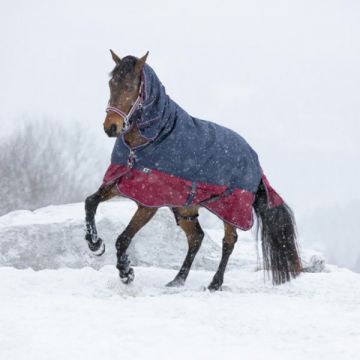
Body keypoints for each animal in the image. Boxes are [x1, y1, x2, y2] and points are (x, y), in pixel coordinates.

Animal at [86, 50, 302, 292]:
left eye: (131, 86)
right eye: (111, 84)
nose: (110, 127)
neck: (145, 143)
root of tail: (255, 160)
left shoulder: (149, 203)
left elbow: (123, 239)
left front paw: (126, 272)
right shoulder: (120, 182)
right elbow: (90, 202)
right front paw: (95, 243)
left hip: (230, 209)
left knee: (229, 241)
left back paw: (214, 283)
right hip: (185, 208)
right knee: (196, 238)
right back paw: (177, 280)